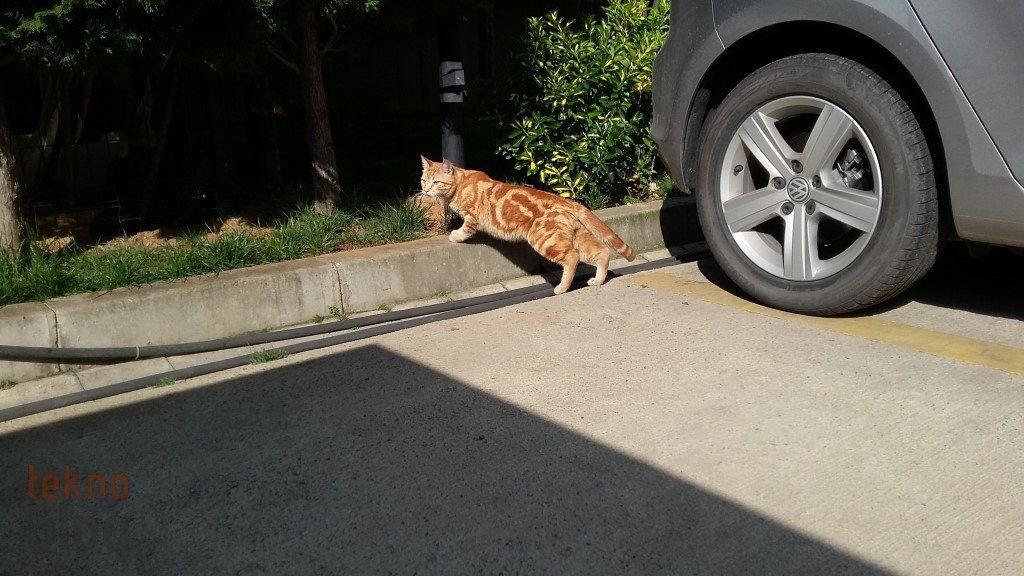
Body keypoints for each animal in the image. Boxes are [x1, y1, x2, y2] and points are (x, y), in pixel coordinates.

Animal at [419, 156, 635, 294]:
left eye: (436, 182)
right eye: (423, 180)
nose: (425, 190)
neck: (461, 183)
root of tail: (569, 202)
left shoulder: (472, 217)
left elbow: (465, 230)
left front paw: (454, 235)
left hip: (545, 240)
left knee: (572, 257)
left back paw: (562, 287)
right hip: (579, 237)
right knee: (602, 252)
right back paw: (598, 280)